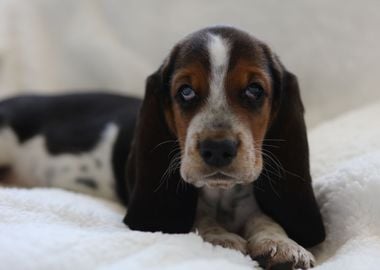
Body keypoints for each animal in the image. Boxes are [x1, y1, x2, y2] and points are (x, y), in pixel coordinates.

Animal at [0, 26, 326, 270]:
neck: (221, 194)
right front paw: (221, 237)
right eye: (186, 92)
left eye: (255, 90)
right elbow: (198, 216)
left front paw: (282, 244)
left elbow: (264, 219)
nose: (217, 149)